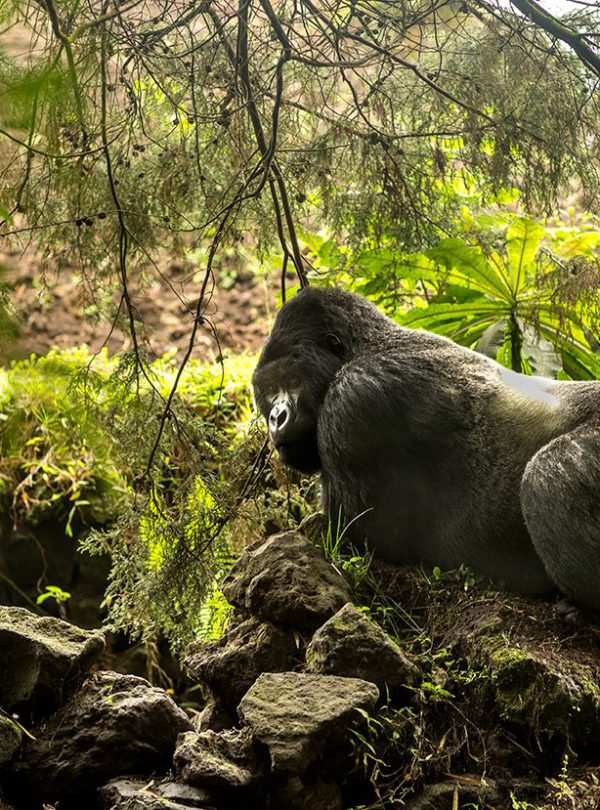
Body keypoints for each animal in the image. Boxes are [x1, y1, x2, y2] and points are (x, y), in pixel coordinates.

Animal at [252, 286, 600, 613]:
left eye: (293, 380)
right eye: (269, 389)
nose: (276, 417)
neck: (366, 347)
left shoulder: (354, 398)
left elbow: (357, 537)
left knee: (549, 473)